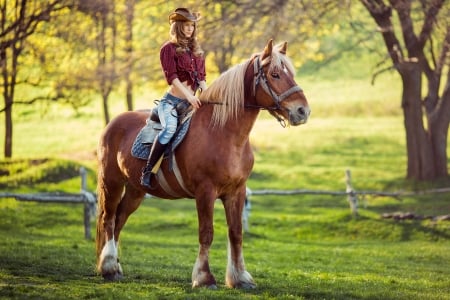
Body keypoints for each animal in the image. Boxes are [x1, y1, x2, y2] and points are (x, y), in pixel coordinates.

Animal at [96, 39, 310, 288]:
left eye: (291, 73)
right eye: (275, 74)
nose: (302, 111)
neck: (222, 132)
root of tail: (113, 123)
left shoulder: (236, 191)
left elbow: (236, 232)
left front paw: (240, 278)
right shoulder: (205, 192)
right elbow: (206, 232)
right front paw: (204, 277)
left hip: (135, 190)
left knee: (119, 219)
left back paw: (115, 267)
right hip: (112, 182)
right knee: (108, 219)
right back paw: (109, 267)